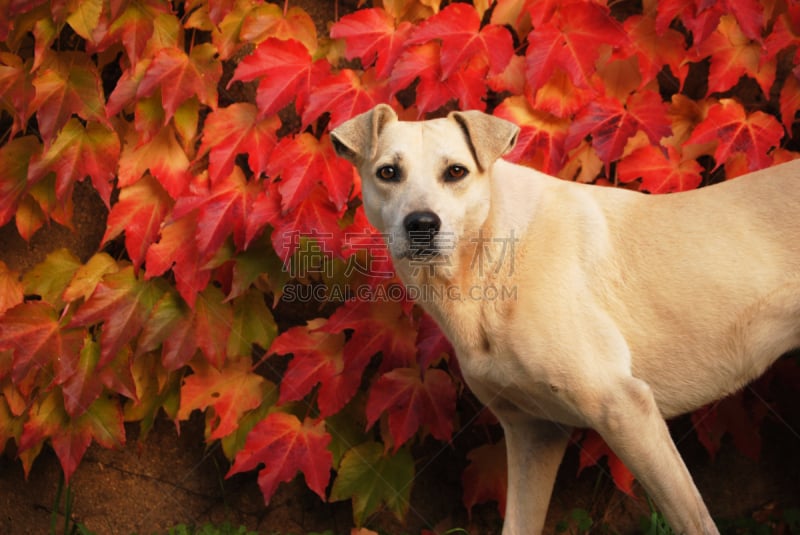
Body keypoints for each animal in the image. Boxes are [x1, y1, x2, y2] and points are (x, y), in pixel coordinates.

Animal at [330, 104, 800, 535]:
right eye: (389, 172)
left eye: (456, 171)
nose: (422, 225)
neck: (488, 262)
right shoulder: (533, 432)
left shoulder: (623, 407)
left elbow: (694, 522)